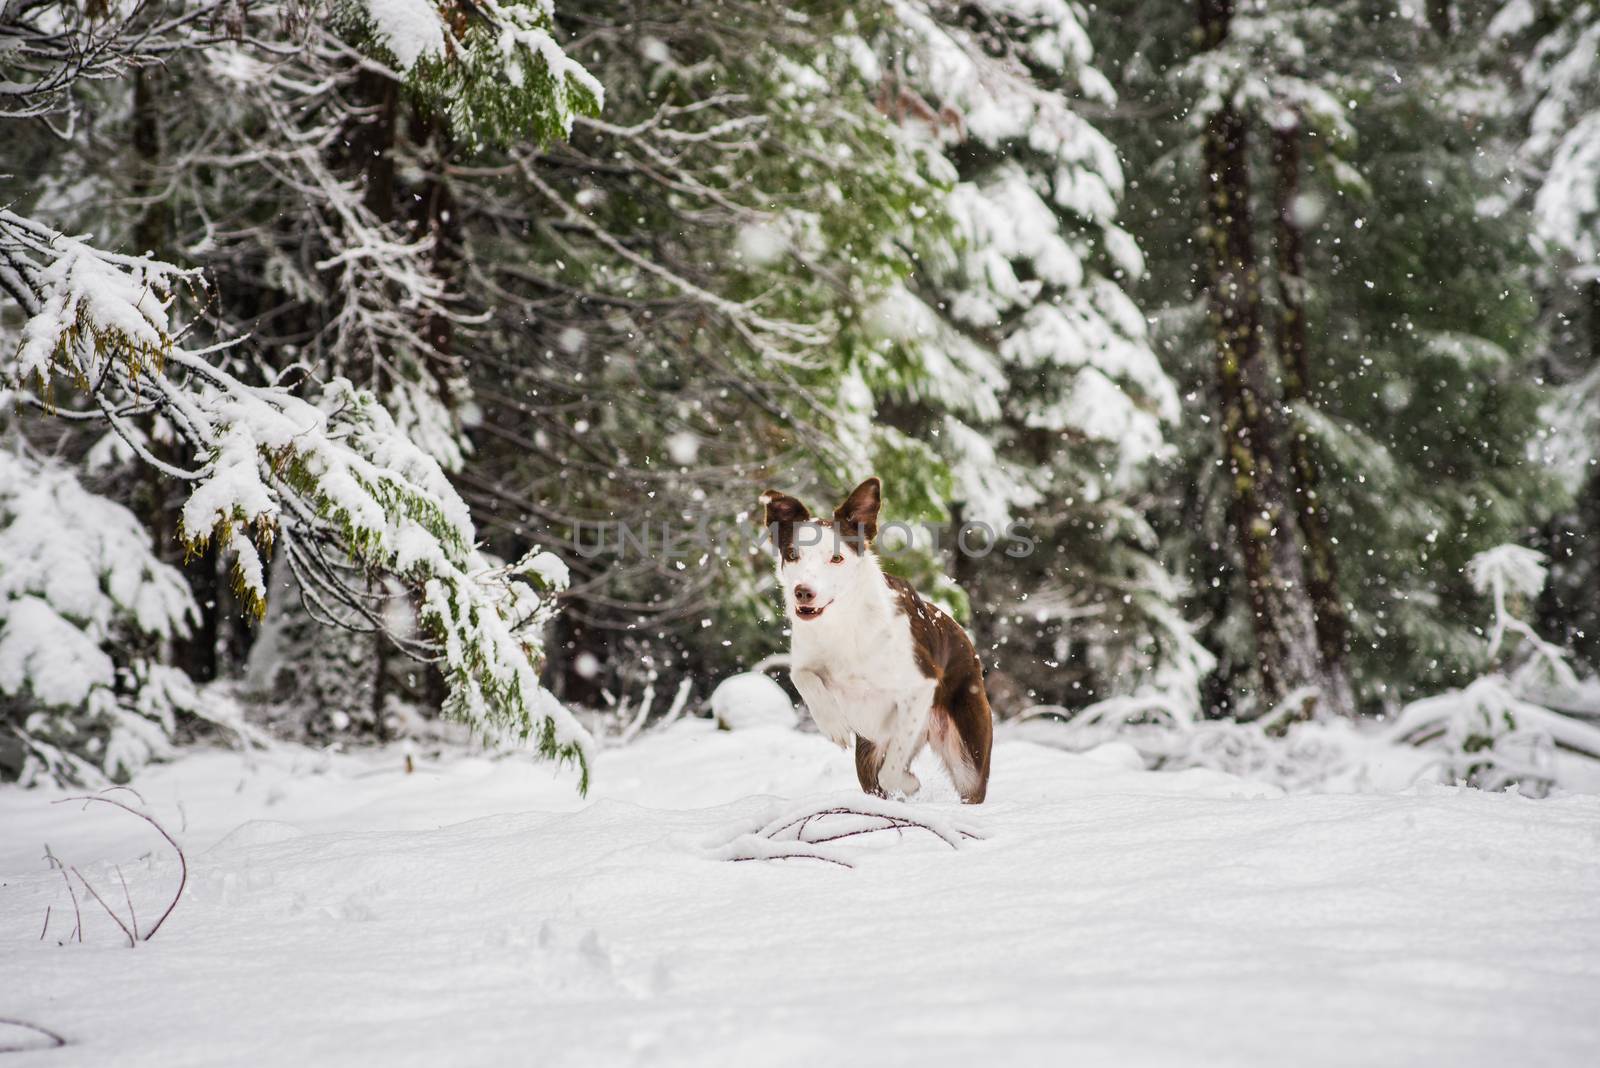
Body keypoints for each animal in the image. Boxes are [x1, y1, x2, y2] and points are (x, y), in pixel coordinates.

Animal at [758, 476, 992, 799]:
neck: (843, 623)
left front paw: (909, 782)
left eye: (836, 558)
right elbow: (802, 676)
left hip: (968, 755)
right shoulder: (806, 661)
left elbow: (892, 771)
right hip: (867, 755)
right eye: (793, 555)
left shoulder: (921, 685)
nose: (803, 592)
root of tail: (968, 644)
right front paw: (834, 725)